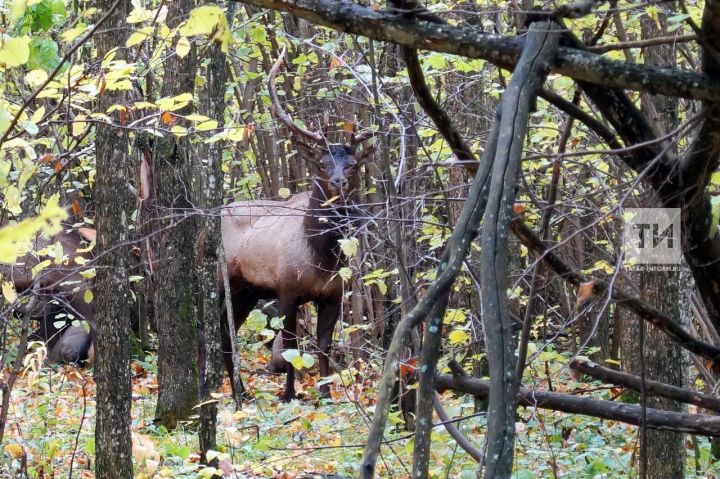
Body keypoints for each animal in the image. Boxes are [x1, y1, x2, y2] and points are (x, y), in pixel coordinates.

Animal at [221, 47, 374, 402]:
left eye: (352, 163)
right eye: (321, 163)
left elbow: (323, 345)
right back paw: (237, 392)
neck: (323, 257)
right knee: (222, 329)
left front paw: (326, 393)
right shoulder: (287, 289)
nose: (337, 182)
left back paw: (241, 391)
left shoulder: (333, 294)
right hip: (225, 279)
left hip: (248, 289)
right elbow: (291, 346)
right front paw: (289, 394)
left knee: (228, 329)